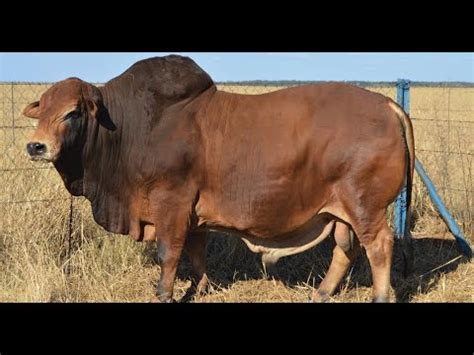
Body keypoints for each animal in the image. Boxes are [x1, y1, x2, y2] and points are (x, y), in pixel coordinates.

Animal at [23, 55, 414, 304]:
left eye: (72, 112)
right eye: (41, 110)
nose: (36, 146)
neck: (129, 128)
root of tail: (384, 105)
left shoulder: (171, 202)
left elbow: (169, 253)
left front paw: (164, 294)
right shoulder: (194, 214)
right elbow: (196, 253)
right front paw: (203, 288)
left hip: (365, 207)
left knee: (379, 247)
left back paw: (379, 296)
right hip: (340, 211)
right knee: (345, 249)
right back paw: (320, 293)